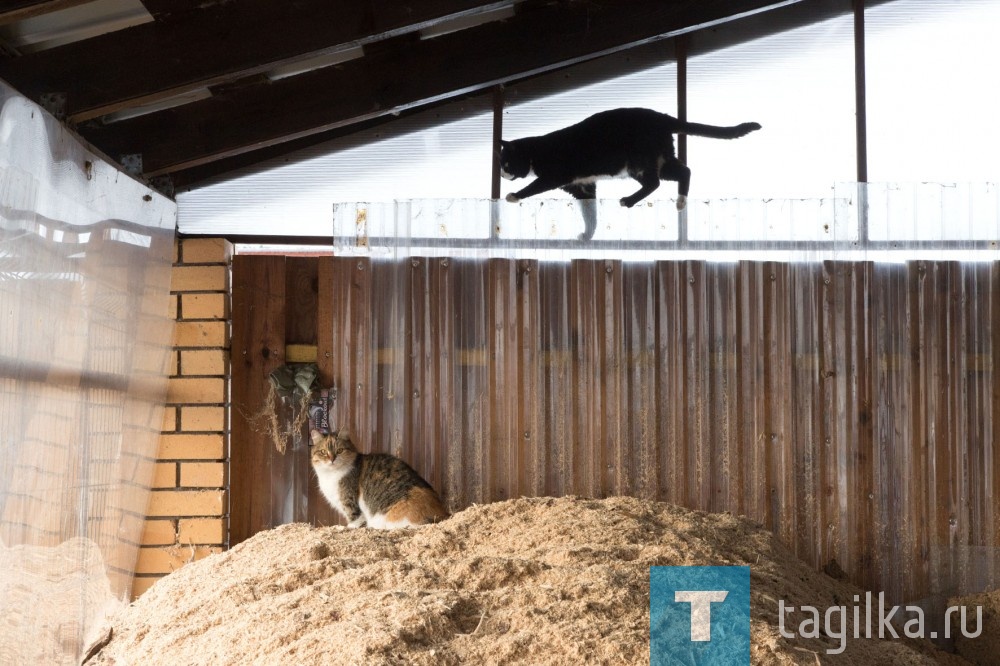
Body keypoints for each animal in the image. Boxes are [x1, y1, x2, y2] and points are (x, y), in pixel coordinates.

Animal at [310, 428, 448, 528]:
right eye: (323, 452)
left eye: (340, 450)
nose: (332, 459)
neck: (330, 475)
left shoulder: (350, 503)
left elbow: (355, 520)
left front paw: (346, 528)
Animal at [500, 109, 756, 241]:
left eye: (505, 162)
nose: (501, 174)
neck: (537, 151)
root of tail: (662, 117)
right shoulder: (583, 186)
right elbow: (590, 213)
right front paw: (588, 235)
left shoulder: (555, 175)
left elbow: (535, 186)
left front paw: (514, 195)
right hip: (661, 158)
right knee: (684, 170)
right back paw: (681, 202)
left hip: (638, 160)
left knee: (654, 182)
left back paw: (629, 200)